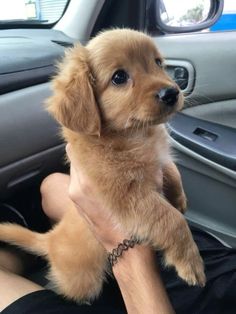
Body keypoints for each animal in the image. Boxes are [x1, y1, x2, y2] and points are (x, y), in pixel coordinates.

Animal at [0, 29, 206, 302]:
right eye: (119, 77)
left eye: (158, 63)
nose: (171, 93)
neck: (134, 136)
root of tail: (51, 240)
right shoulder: (127, 195)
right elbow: (171, 220)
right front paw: (190, 262)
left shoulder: (158, 160)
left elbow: (171, 169)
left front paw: (179, 198)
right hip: (84, 281)